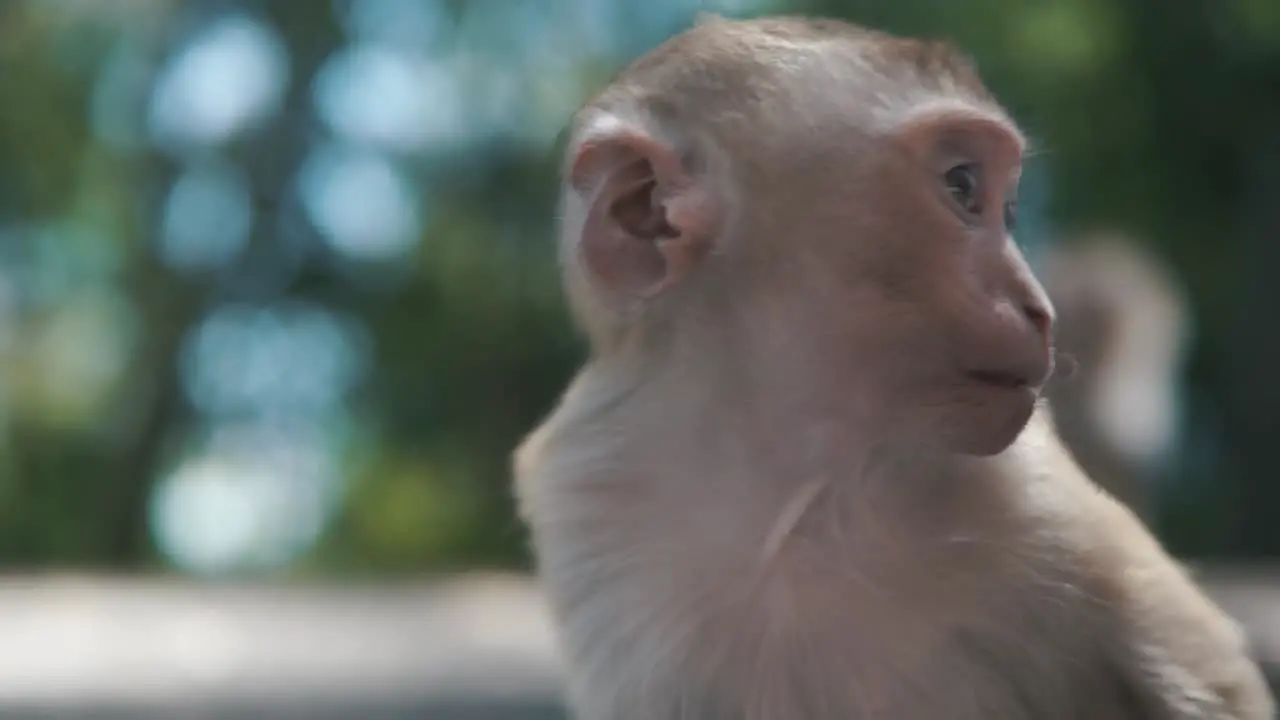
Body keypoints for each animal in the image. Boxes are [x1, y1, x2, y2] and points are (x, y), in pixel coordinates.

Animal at [506, 15, 1269, 717]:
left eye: (1010, 208)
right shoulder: (589, 500)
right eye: (962, 187)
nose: (1040, 307)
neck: (800, 480)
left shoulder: (1033, 486)